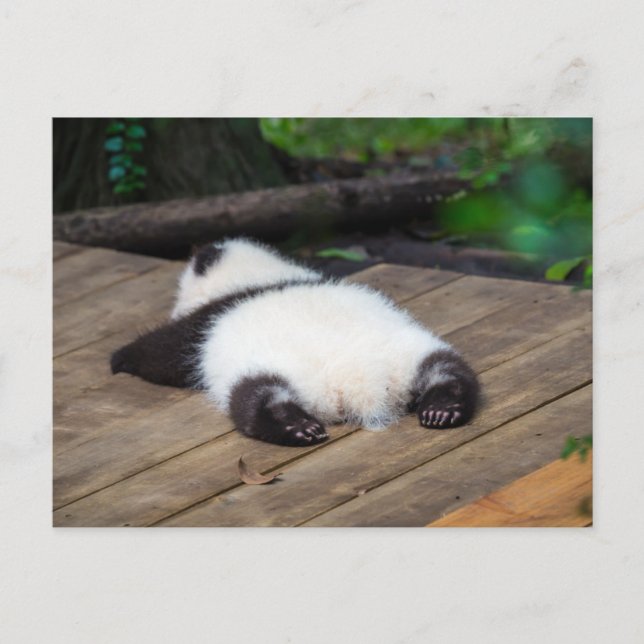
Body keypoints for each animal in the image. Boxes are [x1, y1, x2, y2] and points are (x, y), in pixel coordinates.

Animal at [111, 238, 480, 447]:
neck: (261, 276)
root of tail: (359, 381)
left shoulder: (205, 323)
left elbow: (163, 353)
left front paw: (120, 359)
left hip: (269, 369)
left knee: (255, 397)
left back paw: (295, 427)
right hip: (409, 351)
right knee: (448, 369)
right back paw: (443, 408)